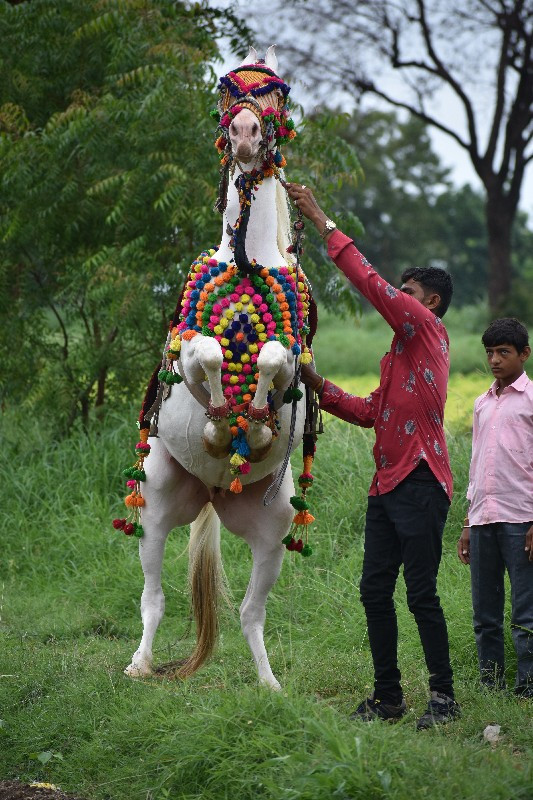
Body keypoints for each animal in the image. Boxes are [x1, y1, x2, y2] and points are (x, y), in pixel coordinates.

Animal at [122, 47, 316, 692]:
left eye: (275, 95)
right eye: (230, 93)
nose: (246, 135)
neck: (248, 260)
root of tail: (211, 490)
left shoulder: (295, 363)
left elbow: (274, 359)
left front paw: (251, 419)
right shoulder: (186, 354)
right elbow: (206, 354)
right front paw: (217, 420)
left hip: (272, 532)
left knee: (251, 613)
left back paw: (270, 684)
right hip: (157, 507)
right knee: (154, 598)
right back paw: (139, 664)